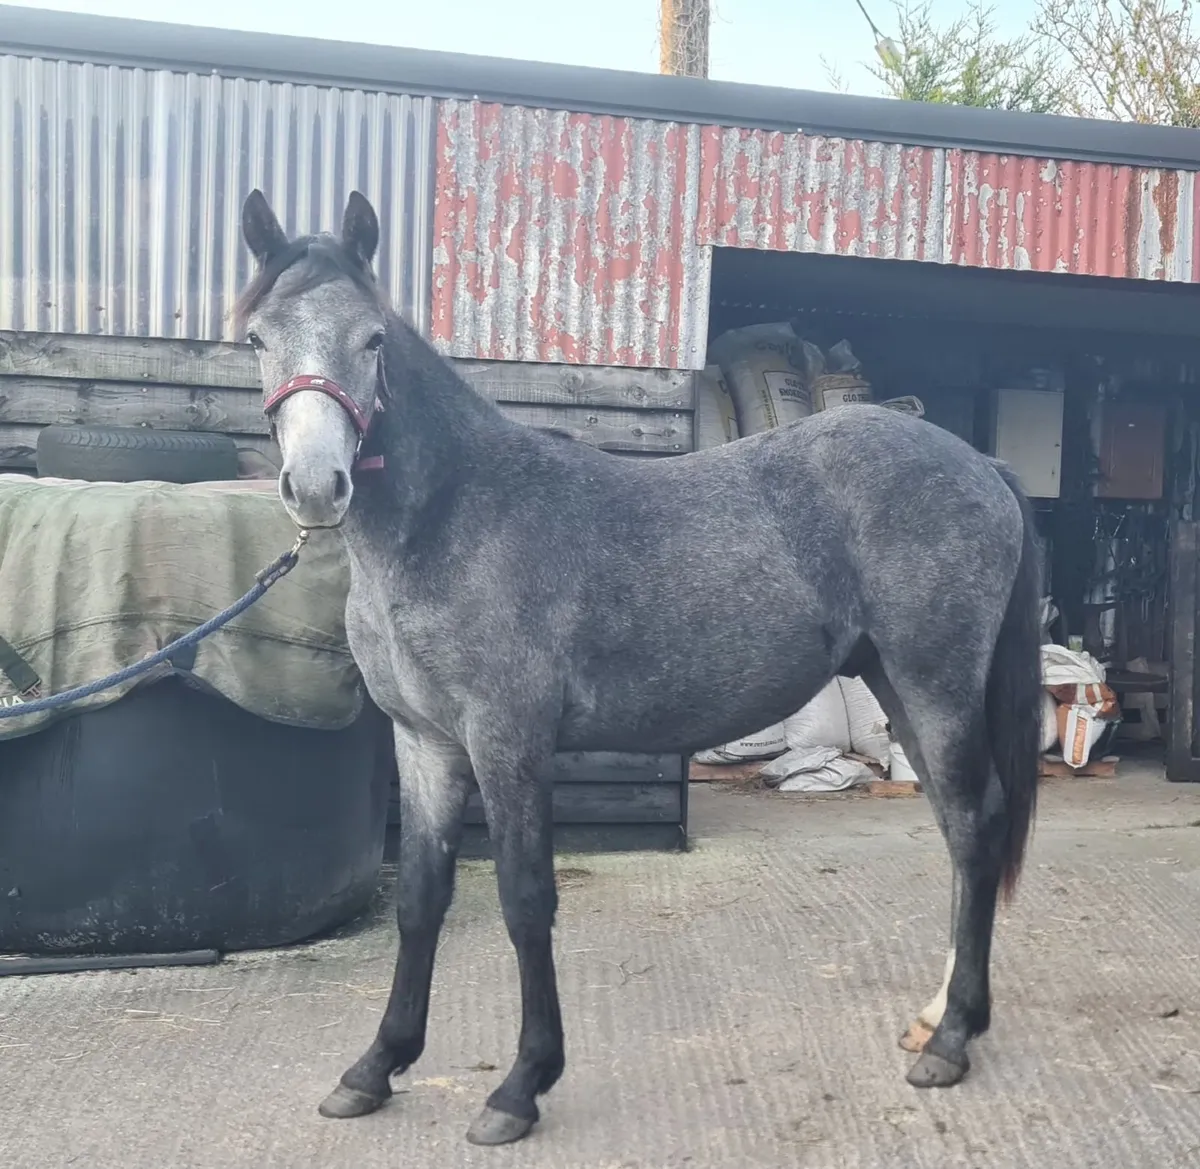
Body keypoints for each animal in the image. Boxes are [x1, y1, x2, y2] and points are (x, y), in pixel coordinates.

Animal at [235, 188, 1042, 1148]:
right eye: (257, 338)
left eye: (372, 340)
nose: (318, 484)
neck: (450, 517)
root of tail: (981, 464)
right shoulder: (425, 743)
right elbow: (422, 898)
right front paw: (377, 1065)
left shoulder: (507, 742)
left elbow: (525, 898)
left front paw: (521, 1085)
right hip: (900, 683)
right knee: (962, 832)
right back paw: (935, 1017)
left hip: (936, 682)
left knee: (976, 823)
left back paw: (952, 1040)